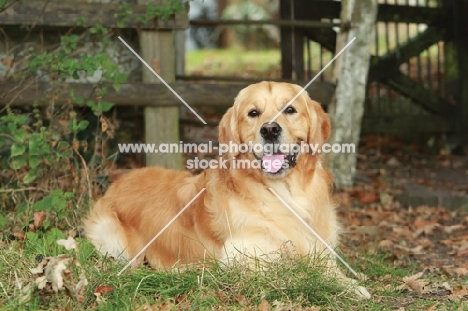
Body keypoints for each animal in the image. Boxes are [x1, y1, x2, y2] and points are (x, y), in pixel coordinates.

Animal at [83, 82, 370, 300]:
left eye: (290, 109)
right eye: (253, 113)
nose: (270, 130)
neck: (283, 193)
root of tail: (117, 183)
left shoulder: (319, 246)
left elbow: (326, 266)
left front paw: (351, 283)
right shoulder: (239, 259)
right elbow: (293, 271)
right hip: (115, 241)